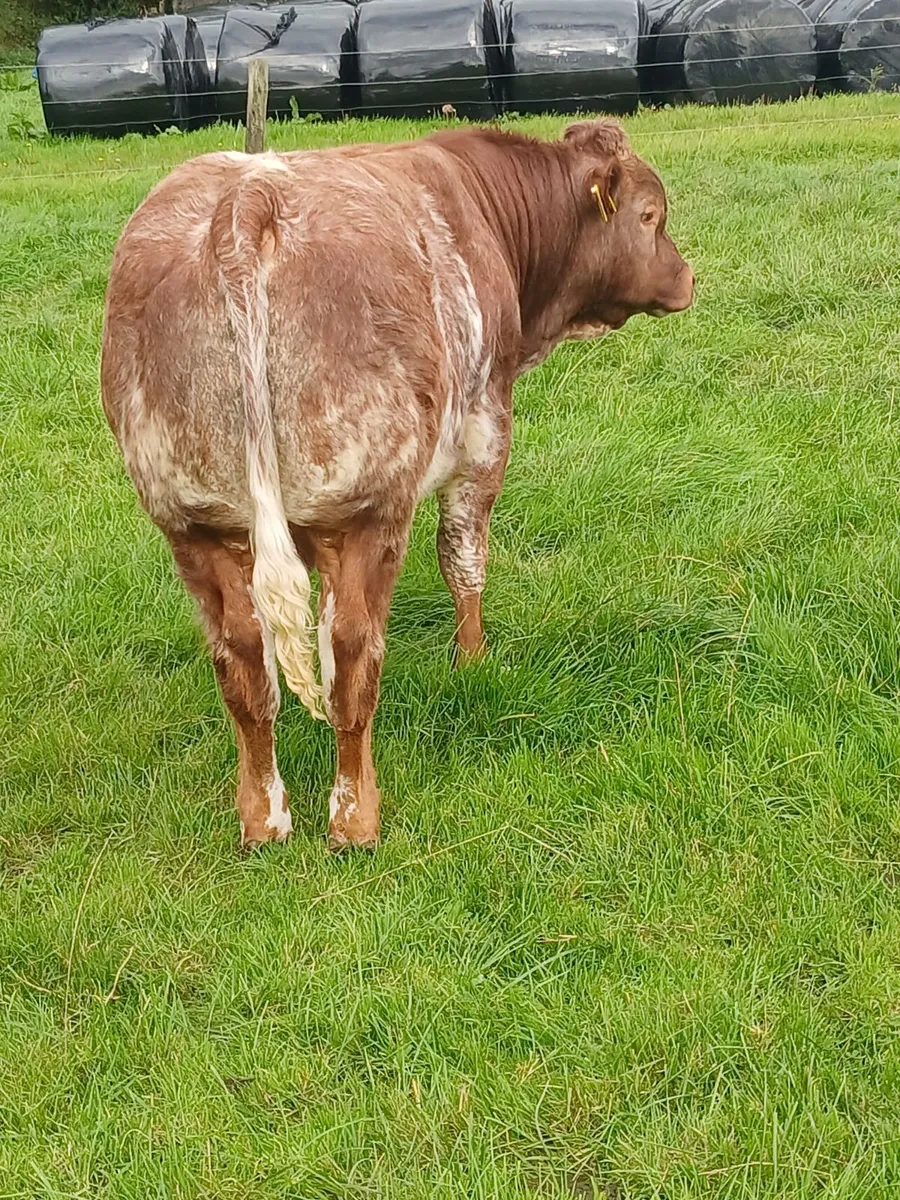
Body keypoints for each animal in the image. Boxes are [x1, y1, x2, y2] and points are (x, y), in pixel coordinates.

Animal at [101, 118, 693, 851]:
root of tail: (248, 197)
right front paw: (473, 661)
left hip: (195, 520)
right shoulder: (485, 432)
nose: (686, 276)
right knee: (355, 653)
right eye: (650, 216)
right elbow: (463, 558)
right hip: (366, 509)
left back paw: (264, 818)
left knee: (244, 659)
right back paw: (356, 818)